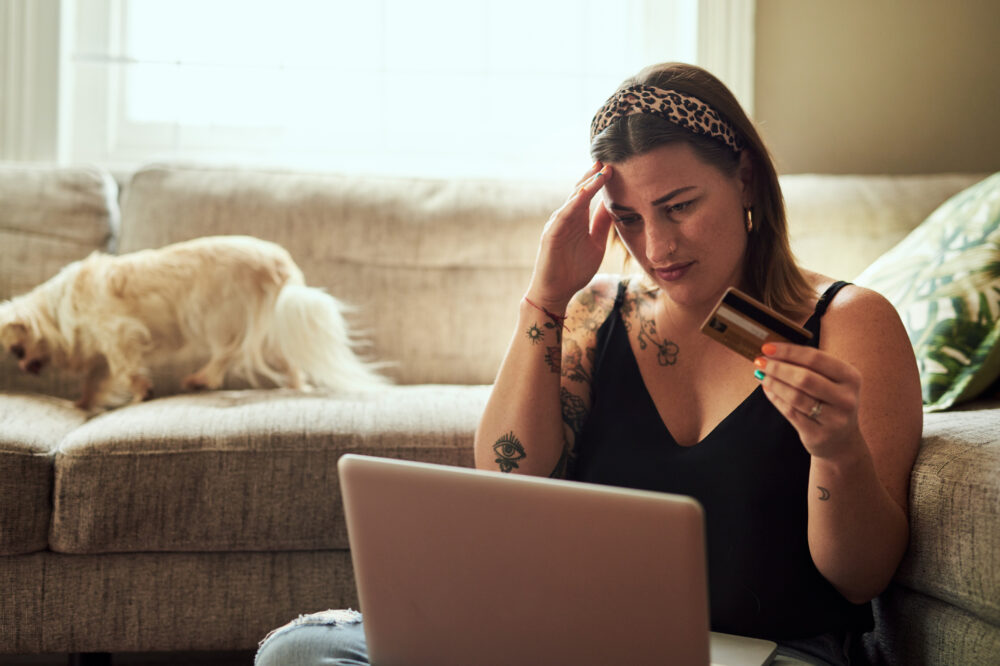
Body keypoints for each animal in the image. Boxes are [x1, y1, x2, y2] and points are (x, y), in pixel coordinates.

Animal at [0, 236, 386, 408]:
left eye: (17, 350)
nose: (22, 367)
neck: (58, 309)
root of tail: (279, 264)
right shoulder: (101, 353)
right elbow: (97, 380)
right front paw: (83, 404)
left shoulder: (118, 333)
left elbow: (125, 370)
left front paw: (141, 391)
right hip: (266, 329)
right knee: (288, 362)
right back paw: (295, 387)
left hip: (213, 316)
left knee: (229, 354)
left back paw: (201, 379)